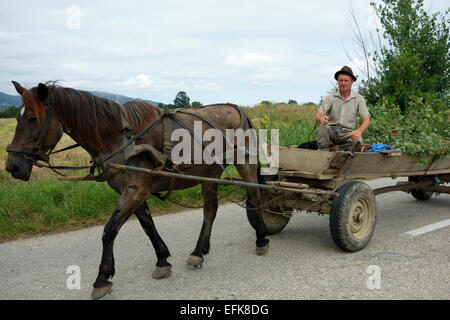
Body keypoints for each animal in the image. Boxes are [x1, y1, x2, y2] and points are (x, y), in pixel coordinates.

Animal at [5, 80, 268, 300]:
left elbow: (109, 230)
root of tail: (238, 109)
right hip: (209, 172)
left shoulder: (135, 191)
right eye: (18, 118)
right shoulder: (135, 191)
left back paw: (261, 237)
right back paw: (198, 251)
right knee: (210, 209)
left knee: (254, 197)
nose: (12, 167)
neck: (122, 139)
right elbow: (147, 225)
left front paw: (102, 278)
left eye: (32, 118)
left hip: (244, 163)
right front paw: (162, 260)